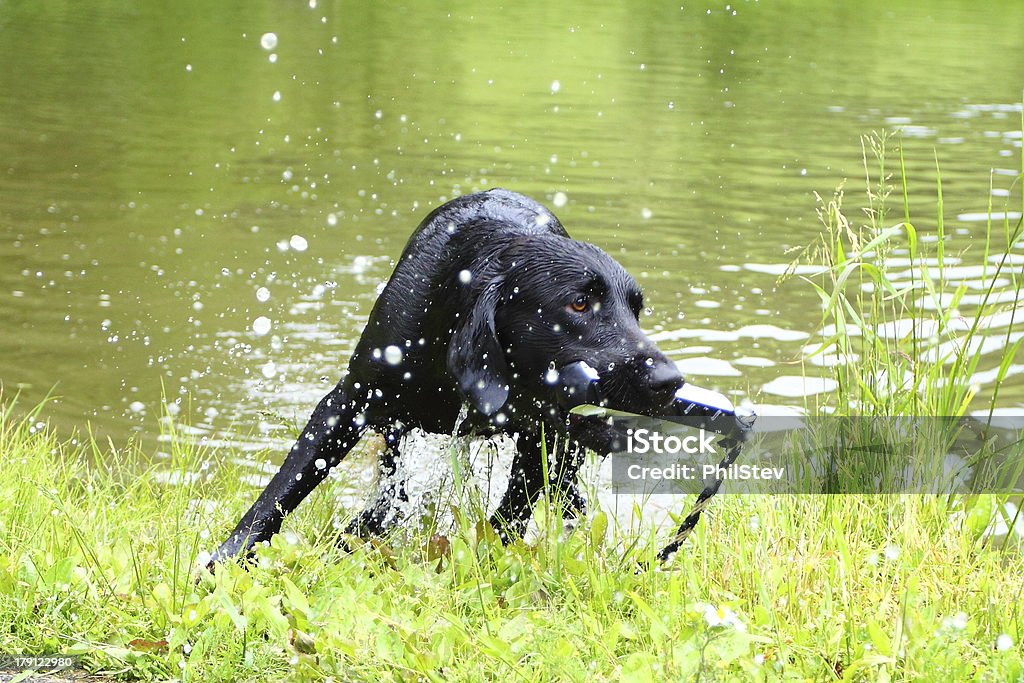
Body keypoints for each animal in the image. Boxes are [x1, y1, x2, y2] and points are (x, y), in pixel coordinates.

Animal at [208, 189, 684, 565]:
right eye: (579, 304)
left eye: (635, 310)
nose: (670, 380)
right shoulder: (347, 401)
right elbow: (281, 492)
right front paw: (221, 564)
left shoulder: (545, 435)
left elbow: (508, 514)